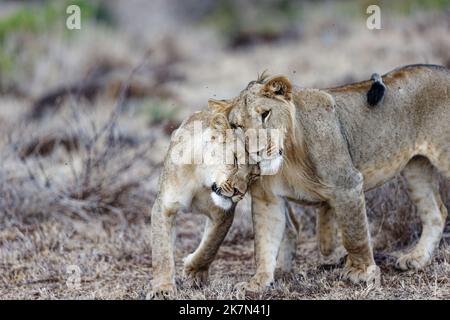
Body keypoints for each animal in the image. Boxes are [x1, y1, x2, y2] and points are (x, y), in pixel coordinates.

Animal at [149, 109, 258, 298]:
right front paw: (162, 289)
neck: (200, 178)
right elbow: (162, 251)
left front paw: (195, 272)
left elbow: (210, 246)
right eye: (235, 160)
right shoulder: (164, 207)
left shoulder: (223, 214)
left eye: (253, 176)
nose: (239, 192)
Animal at [210, 64, 450, 292]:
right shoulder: (267, 199)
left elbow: (354, 235)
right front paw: (258, 282)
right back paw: (417, 259)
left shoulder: (347, 184)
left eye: (265, 114)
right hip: (416, 168)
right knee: (436, 213)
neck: (288, 158)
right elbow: (264, 244)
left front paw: (362, 272)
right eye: (237, 126)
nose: (257, 152)